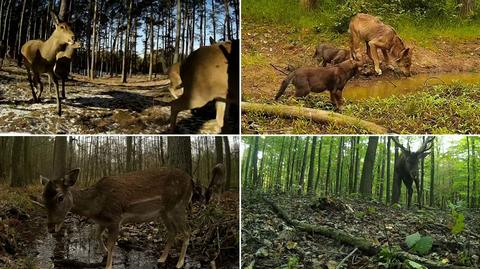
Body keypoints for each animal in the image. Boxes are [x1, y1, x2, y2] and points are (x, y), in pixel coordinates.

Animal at [39, 166, 193, 266]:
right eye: (43, 198)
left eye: (60, 197)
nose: (51, 228)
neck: (96, 206)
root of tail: (192, 181)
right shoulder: (102, 221)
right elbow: (96, 235)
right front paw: (105, 252)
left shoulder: (115, 218)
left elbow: (112, 243)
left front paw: (108, 262)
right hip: (164, 212)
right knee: (173, 231)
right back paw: (161, 259)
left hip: (178, 205)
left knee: (186, 232)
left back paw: (179, 263)